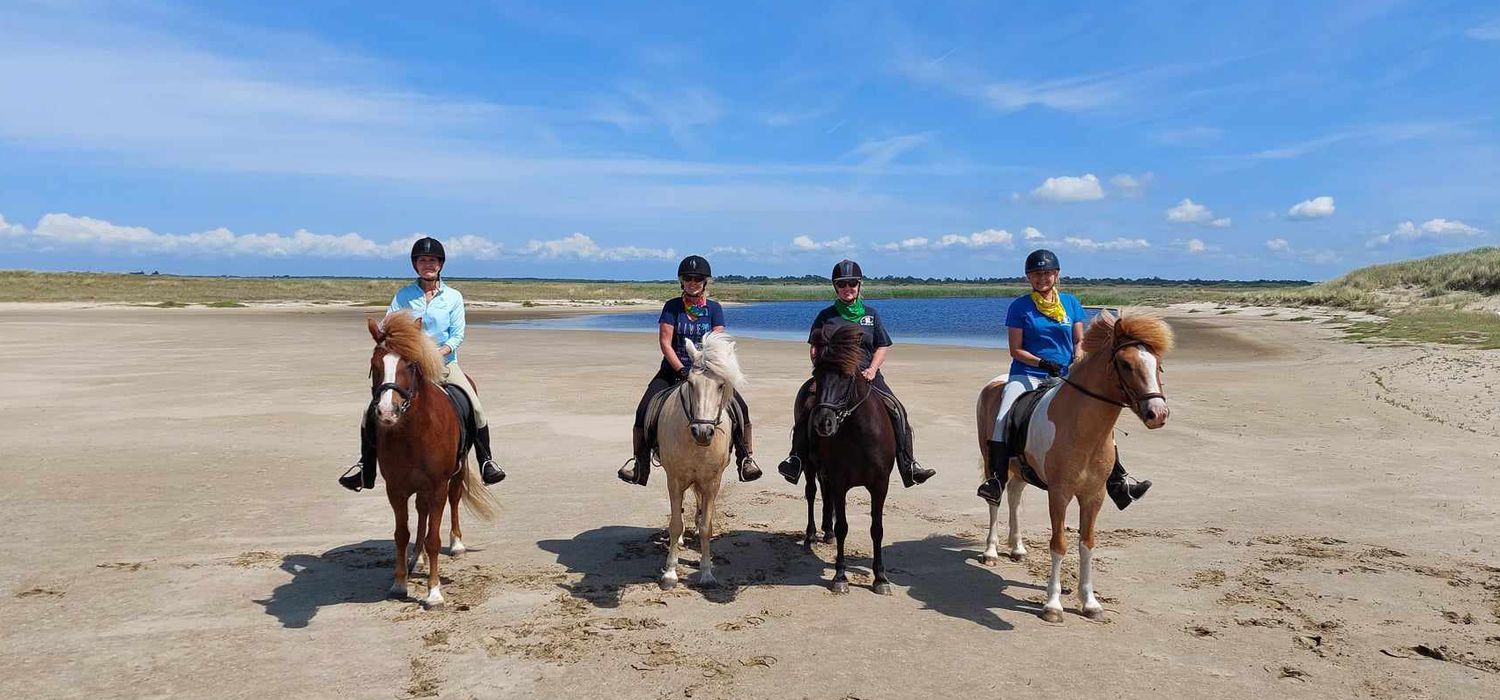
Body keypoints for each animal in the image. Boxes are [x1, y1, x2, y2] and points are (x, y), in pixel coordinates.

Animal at [366, 311, 501, 608]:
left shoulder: (438, 486)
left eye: (410, 365)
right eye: (375, 364)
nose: (387, 412)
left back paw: (457, 545)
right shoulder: (396, 489)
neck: (413, 432)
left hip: (456, 473)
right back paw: (418, 558)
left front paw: (434, 592)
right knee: (421, 512)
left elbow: (434, 539)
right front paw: (399, 583)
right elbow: (401, 534)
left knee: (453, 500)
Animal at [660, 331, 747, 590]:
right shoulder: (675, 480)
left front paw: (707, 573)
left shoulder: (711, 482)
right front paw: (670, 573)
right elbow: (675, 524)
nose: (702, 432)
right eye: (690, 383)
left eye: (721, 385)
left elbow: (707, 527)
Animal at [810, 326, 900, 593]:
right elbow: (843, 528)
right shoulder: (840, 482)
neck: (861, 435)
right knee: (811, 494)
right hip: (810, 466)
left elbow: (877, 529)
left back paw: (825, 533)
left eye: (846, 377)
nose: (824, 422)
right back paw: (811, 536)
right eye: (817, 374)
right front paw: (840, 576)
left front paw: (880, 578)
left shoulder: (880, 485)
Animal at [972, 311, 1170, 623]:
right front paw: (1053, 605)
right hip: (994, 461)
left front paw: (1090, 603)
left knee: (1015, 496)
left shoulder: (1094, 495)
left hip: (1021, 468)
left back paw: (1017, 548)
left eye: (1157, 364)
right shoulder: (1059, 493)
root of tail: (994, 384)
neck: (1081, 426)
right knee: (996, 499)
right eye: (1126, 364)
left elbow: (1087, 544)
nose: (1158, 414)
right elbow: (1059, 544)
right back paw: (991, 551)